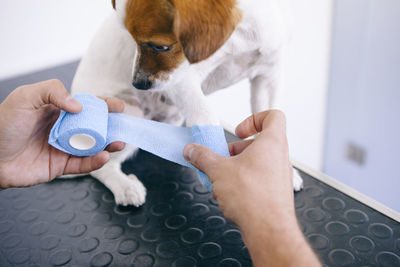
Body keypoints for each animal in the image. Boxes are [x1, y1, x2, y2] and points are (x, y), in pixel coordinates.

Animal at [72, 0, 304, 207]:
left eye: (160, 46)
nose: (138, 83)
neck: (240, 36)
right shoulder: (181, 80)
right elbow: (206, 116)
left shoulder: (267, 77)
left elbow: (268, 125)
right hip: (130, 113)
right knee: (100, 166)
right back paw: (125, 187)